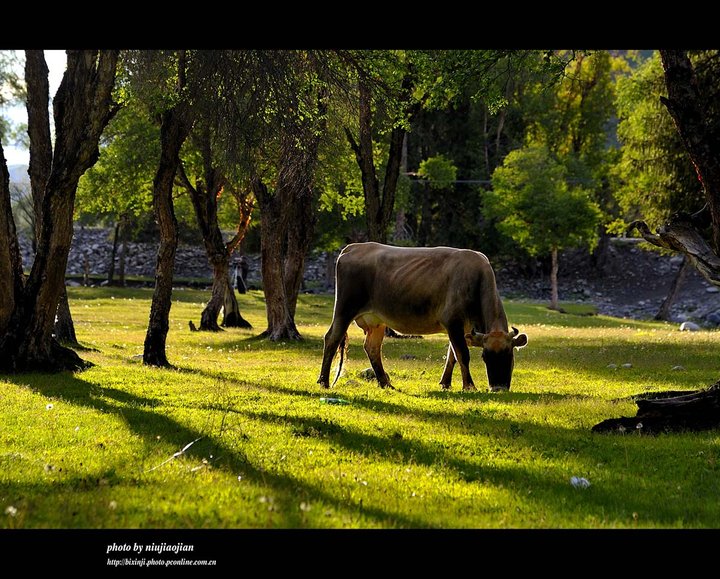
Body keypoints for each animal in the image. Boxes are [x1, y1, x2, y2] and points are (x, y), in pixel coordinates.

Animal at [318, 242, 524, 392]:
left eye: (510, 354)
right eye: (484, 356)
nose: (498, 388)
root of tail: (353, 247)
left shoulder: (462, 328)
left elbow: (452, 356)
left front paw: (445, 383)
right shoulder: (453, 322)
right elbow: (462, 354)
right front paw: (469, 386)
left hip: (376, 320)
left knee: (372, 347)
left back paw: (386, 383)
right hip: (345, 308)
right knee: (332, 338)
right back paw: (323, 381)